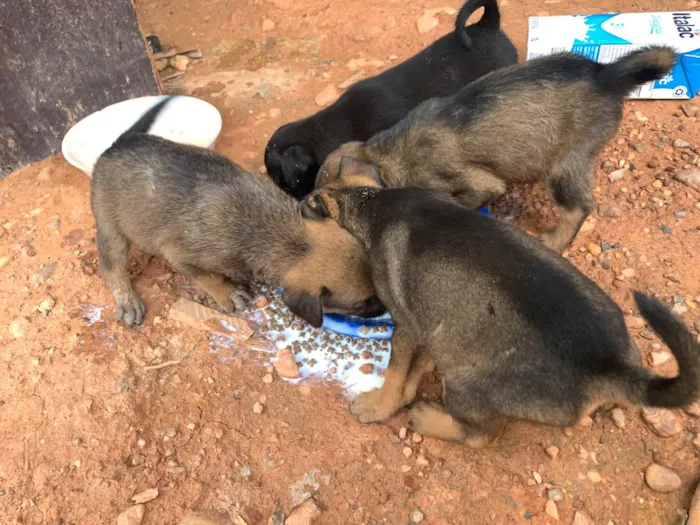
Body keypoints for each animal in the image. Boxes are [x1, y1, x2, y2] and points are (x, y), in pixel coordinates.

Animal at [91, 97, 386, 326]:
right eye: (361, 304)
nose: (386, 309)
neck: (279, 233)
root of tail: (116, 145)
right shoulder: (180, 254)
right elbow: (208, 276)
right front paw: (229, 293)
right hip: (109, 226)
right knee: (112, 267)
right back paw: (127, 301)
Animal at [304, 186, 700, 444]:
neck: (374, 204)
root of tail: (608, 366)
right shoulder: (432, 326)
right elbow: (415, 370)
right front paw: (401, 397)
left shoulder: (406, 324)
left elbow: (395, 372)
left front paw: (380, 406)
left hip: (465, 383)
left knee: (478, 436)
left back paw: (429, 419)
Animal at [314, 44, 676, 253]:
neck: (386, 154)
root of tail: (606, 74)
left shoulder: (479, 183)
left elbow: (464, 199)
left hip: (565, 165)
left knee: (578, 207)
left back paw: (555, 242)